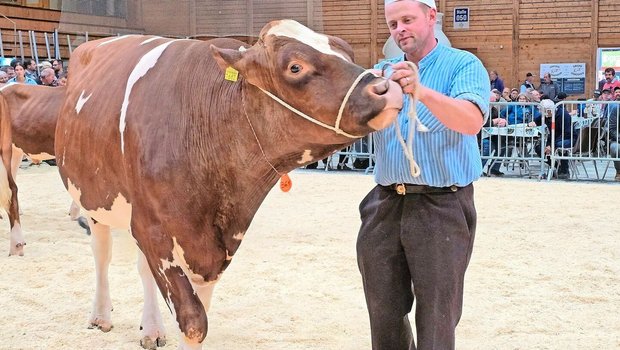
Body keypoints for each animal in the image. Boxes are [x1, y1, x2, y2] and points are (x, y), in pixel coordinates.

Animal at [53, 20, 402, 348]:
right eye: (295, 67)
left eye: (348, 52)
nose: (387, 88)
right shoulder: (152, 229)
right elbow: (194, 322)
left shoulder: (213, 247)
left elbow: (199, 316)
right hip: (94, 199)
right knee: (102, 253)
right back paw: (101, 316)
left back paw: (151, 329)